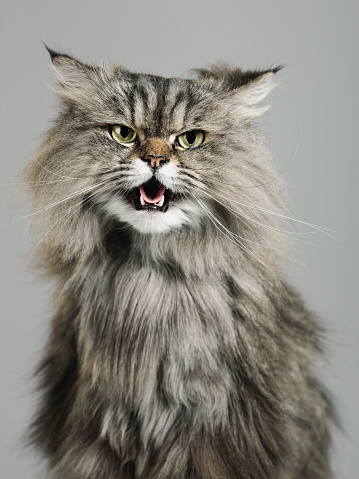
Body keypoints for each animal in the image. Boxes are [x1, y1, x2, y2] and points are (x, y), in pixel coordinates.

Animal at [23, 47, 336, 479]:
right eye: (124, 134)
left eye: (190, 139)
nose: (154, 159)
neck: (151, 278)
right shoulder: (93, 443)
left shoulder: (217, 441)